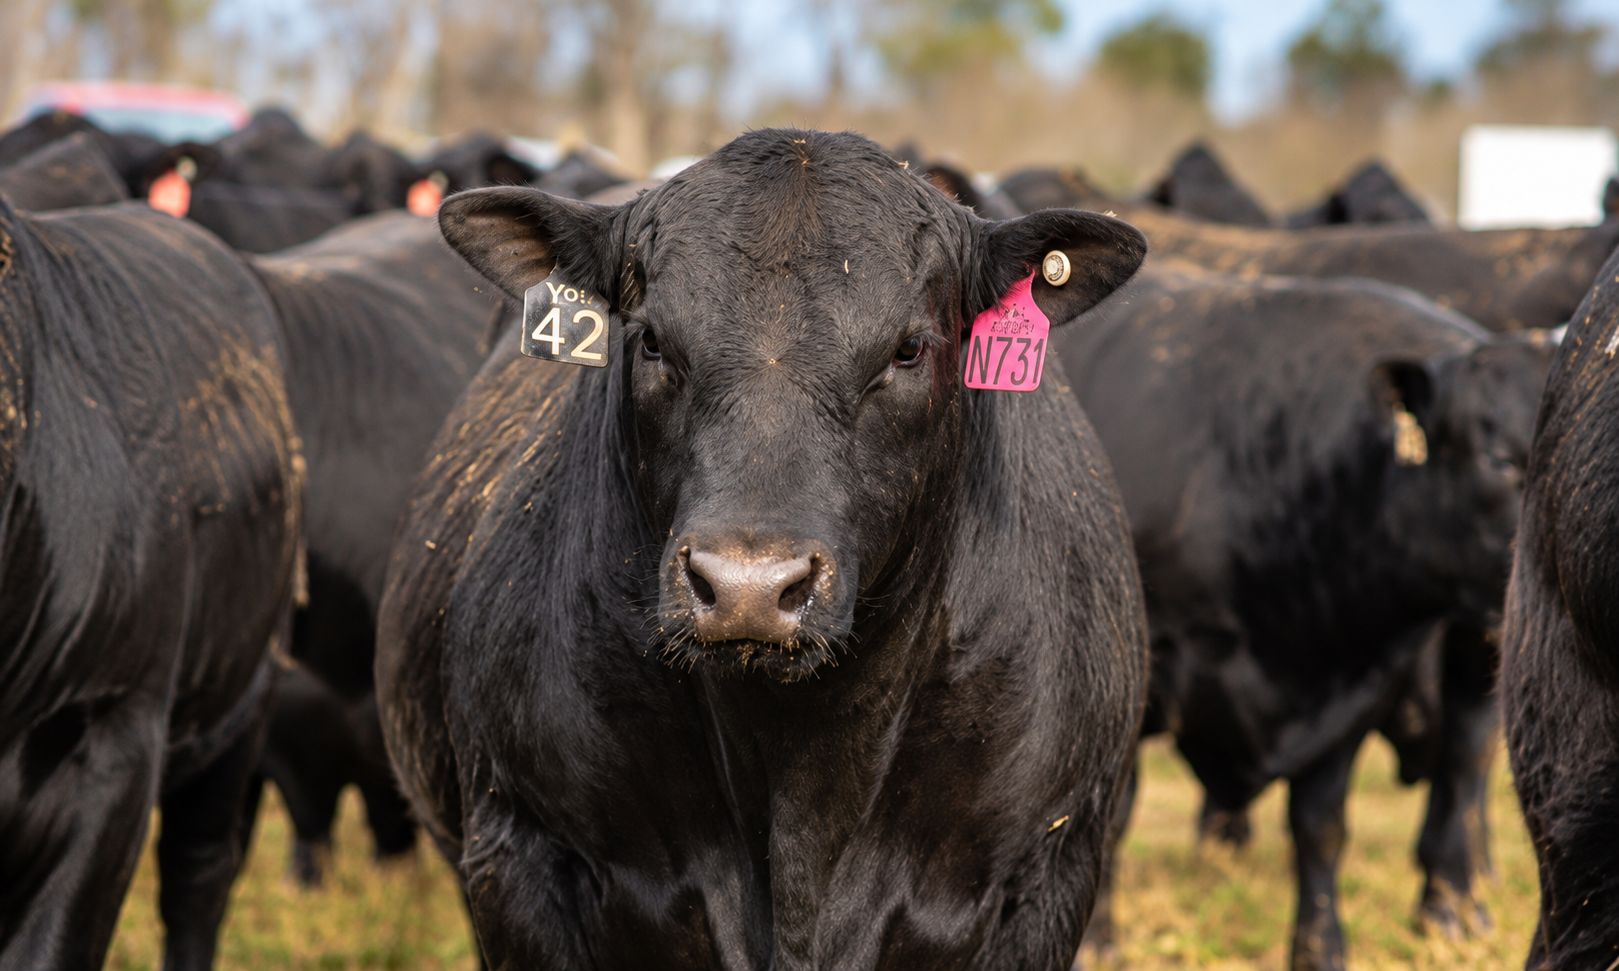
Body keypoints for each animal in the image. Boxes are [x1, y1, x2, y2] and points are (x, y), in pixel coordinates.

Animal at [1051, 263, 1547, 971]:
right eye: (1501, 460)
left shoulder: (1356, 680)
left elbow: (1320, 827)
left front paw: (1321, 948)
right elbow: (1110, 814)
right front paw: (1097, 943)